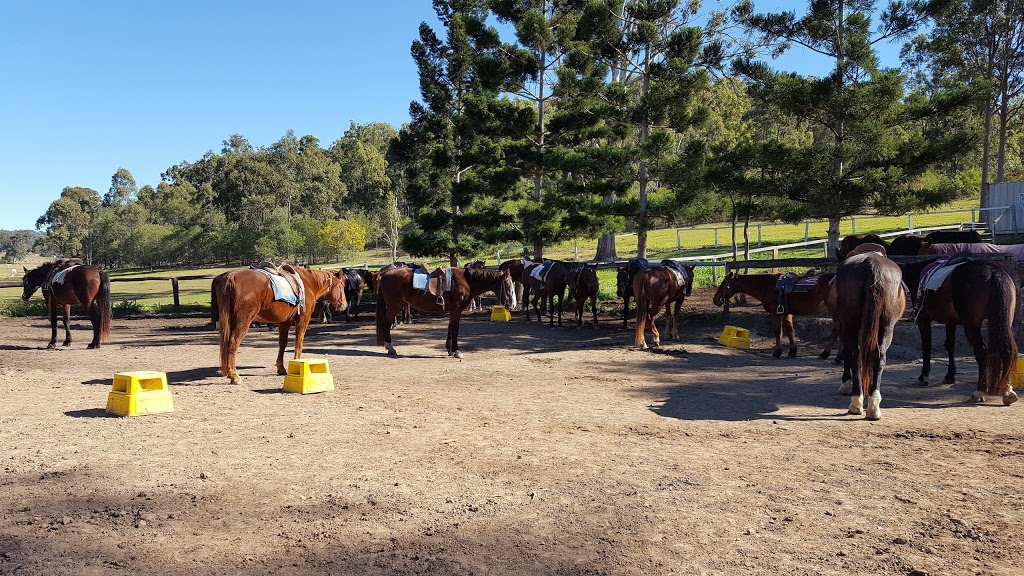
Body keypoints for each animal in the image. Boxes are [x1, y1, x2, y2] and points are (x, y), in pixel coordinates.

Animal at [210, 264, 348, 381]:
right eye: (341, 285)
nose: (344, 305)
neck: (308, 284)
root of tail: (231, 276)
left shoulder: (285, 322)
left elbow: (282, 344)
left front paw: (281, 368)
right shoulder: (303, 319)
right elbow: (299, 342)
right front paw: (298, 363)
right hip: (243, 322)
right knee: (233, 343)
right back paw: (234, 376)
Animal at [374, 266, 516, 356]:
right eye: (508, 286)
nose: (513, 304)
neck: (466, 281)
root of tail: (385, 274)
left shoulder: (453, 310)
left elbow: (450, 327)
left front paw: (450, 349)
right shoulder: (457, 309)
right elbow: (455, 328)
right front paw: (457, 351)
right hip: (394, 305)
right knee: (386, 323)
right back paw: (391, 348)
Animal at [831, 251, 905, 416]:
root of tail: (871, 263)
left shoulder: (843, 327)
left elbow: (846, 352)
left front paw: (846, 383)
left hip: (851, 326)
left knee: (856, 355)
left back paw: (857, 402)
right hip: (886, 327)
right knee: (877, 357)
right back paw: (872, 405)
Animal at [905, 255, 1015, 403]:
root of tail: (993, 273)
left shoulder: (923, 319)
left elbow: (926, 346)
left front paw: (923, 377)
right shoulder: (950, 321)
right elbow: (950, 345)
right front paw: (950, 375)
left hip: (971, 325)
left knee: (981, 353)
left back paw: (980, 391)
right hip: (1003, 322)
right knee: (1006, 350)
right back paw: (1007, 391)